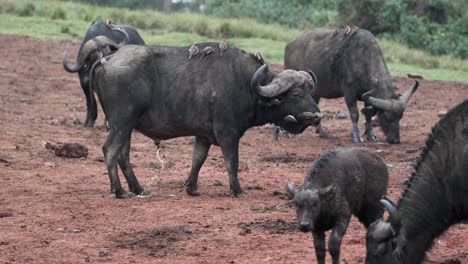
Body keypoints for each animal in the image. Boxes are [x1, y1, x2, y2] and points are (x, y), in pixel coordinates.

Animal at [87, 40, 322, 198]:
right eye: (296, 94)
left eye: (311, 92)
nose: (317, 116)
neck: (246, 85)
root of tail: (107, 60)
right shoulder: (228, 134)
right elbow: (232, 162)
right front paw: (237, 190)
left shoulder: (203, 135)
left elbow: (198, 159)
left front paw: (191, 187)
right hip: (122, 122)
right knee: (110, 150)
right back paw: (119, 191)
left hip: (126, 126)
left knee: (123, 154)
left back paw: (138, 188)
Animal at [284, 26, 418, 144]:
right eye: (387, 117)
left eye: (400, 117)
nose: (395, 140)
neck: (363, 59)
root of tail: (290, 44)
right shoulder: (349, 93)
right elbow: (355, 114)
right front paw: (356, 136)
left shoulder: (368, 96)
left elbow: (368, 114)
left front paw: (371, 135)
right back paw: (287, 132)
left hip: (315, 92)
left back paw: (321, 132)